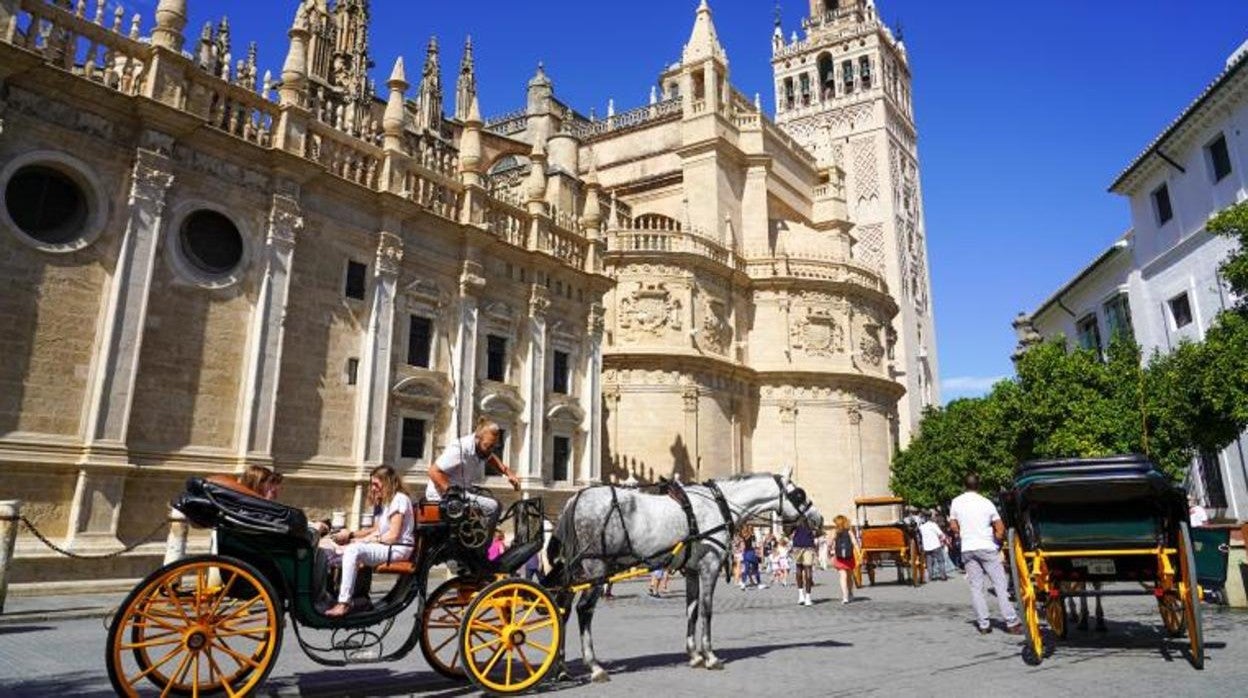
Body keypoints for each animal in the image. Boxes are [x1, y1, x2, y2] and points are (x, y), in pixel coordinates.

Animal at [544, 469, 818, 684]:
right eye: (800, 494)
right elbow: (707, 610)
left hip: (576, 570)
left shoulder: (692, 571)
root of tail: (576, 498)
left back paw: (561, 669)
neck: (719, 504)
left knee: (561, 610)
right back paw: (594, 667)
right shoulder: (710, 566)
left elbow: (692, 610)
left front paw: (694, 655)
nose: (818, 518)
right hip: (597, 569)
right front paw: (710, 656)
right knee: (583, 610)